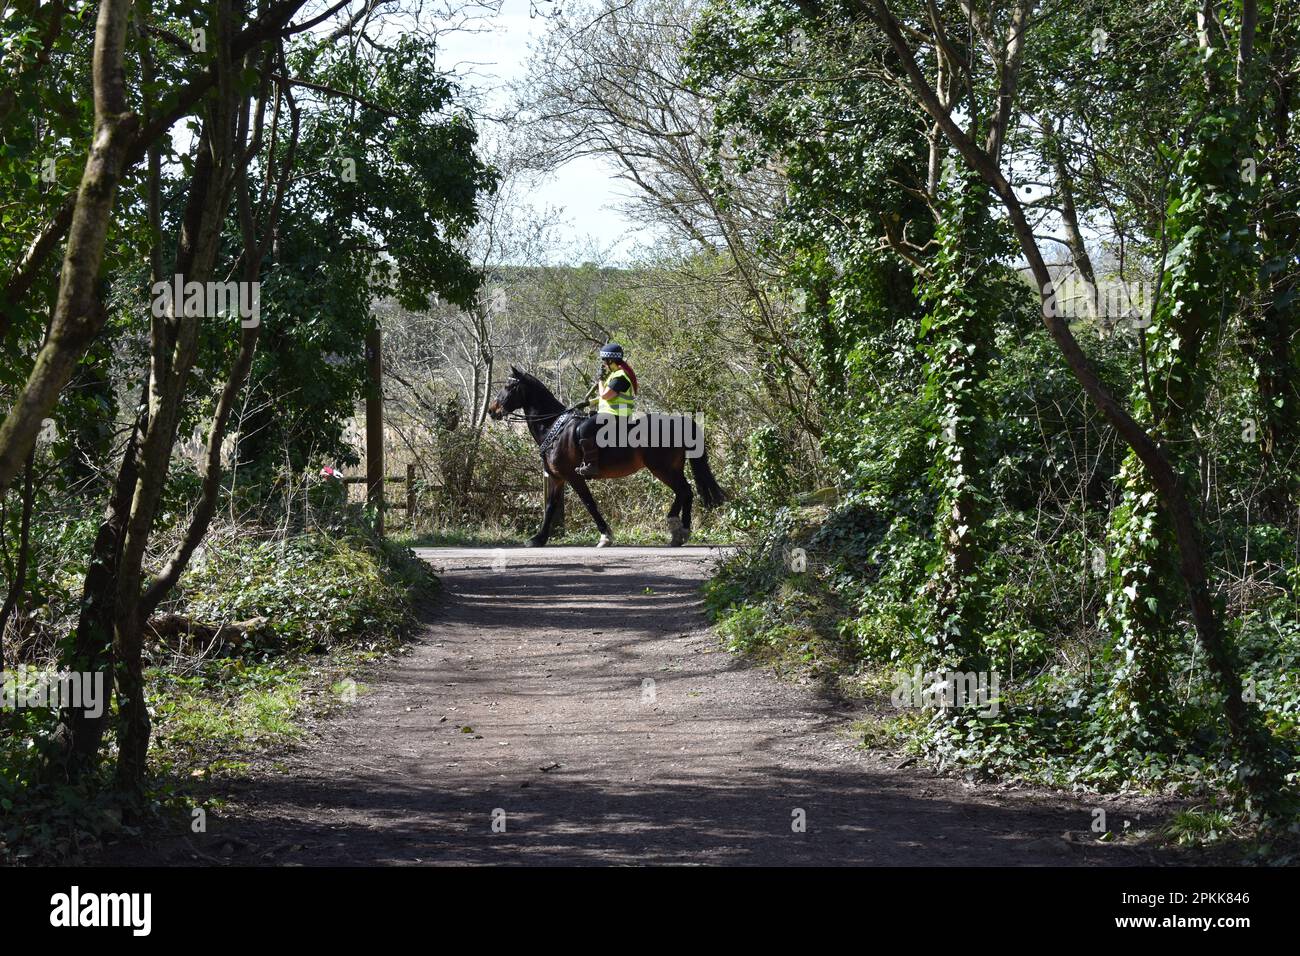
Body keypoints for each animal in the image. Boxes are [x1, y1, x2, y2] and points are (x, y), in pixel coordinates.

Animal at [487, 366, 726, 547]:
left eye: (508, 386)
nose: (491, 410)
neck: (553, 425)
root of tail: (681, 422)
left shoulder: (573, 476)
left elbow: (589, 503)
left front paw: (605, 535)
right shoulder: (556, 477)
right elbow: (550, 506)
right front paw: (538, 538)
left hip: (662, 468)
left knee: (684, 491)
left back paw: (677, 528)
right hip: (672, 468)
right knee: (686, 492)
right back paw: (681, 531)